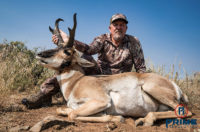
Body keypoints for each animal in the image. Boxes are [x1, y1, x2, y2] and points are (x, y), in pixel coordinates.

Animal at [36, 13, 193, 126]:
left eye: (67, 52)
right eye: (56, 47)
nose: (39, 54)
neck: (76, 83)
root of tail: (174, 85)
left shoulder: (101, 101)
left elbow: (72, 114)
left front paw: (116, 118)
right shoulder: (75, 105)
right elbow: (61, 110)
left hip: (151, 88)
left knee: (186, 112)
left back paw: (145, 120)